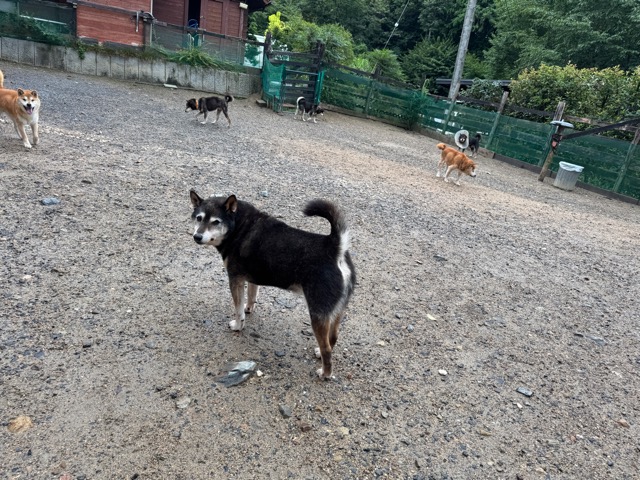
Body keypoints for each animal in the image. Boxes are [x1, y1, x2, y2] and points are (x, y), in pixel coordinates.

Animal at [189, 191, 356, 380]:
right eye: (199, 218)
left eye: (216, 222)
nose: (197, 236)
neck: (238, 225)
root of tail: (335, 248)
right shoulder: (251, 279)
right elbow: (252, 296)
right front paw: (249, 308)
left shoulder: (235, 279)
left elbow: (238, 311)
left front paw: (238, 326)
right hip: (336, 311)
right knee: (333, 337)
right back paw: (319, 353)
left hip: (317, 313)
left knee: (327, 347)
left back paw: (325, 373)